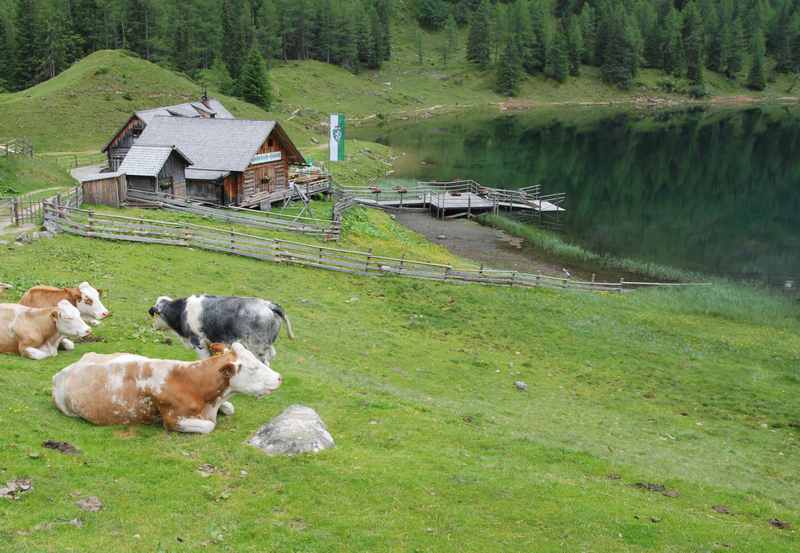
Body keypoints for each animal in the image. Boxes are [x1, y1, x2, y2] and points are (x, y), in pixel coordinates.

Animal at [147, 294, 294, 362]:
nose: (153, 326)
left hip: (257, 347)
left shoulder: (198, 341)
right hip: (266, 345)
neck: (183, 311)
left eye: (155, 315)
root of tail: (268, 305)